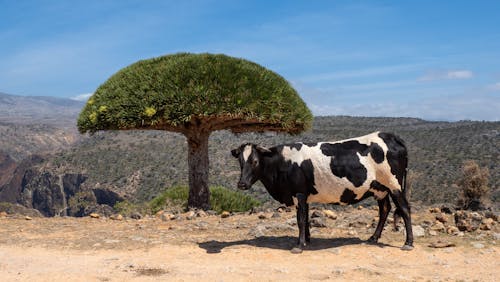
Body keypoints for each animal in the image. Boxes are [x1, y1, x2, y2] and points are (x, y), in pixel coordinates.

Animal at [233, 132, 414, 253]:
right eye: (240, 162)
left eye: (255, 161)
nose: (242, 184)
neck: (284, 162)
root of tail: (390, 136)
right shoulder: (304, 196)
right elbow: (305, 219)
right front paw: (306, 240)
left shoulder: (299, 194)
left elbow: (300, 220)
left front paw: (299, 245)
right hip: (380, 189)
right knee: (384, 209)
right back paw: (373, 238)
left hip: (394, 186)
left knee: (405, 209)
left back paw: (408, 243)